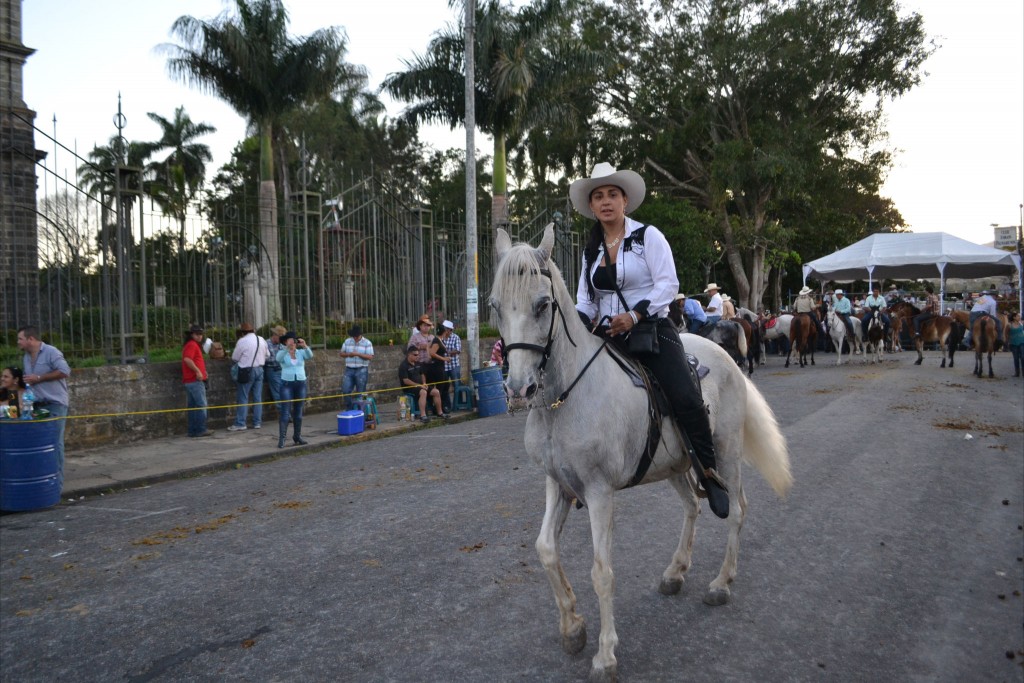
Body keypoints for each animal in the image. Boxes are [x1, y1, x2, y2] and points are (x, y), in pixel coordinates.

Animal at [489, 225, 790, 683]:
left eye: (542, 305)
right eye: (495, 307)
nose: (519, 389)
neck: (564, 398)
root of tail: (725, 354)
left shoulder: (598, 493)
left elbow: (602, 571)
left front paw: (605, 655)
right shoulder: (558, 484)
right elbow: (545, 550)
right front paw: (573, 628)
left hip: (726, 451)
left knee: (736, 509)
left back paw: (721, 584)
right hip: (676, 464)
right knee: (691, 508)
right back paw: (675, 572)